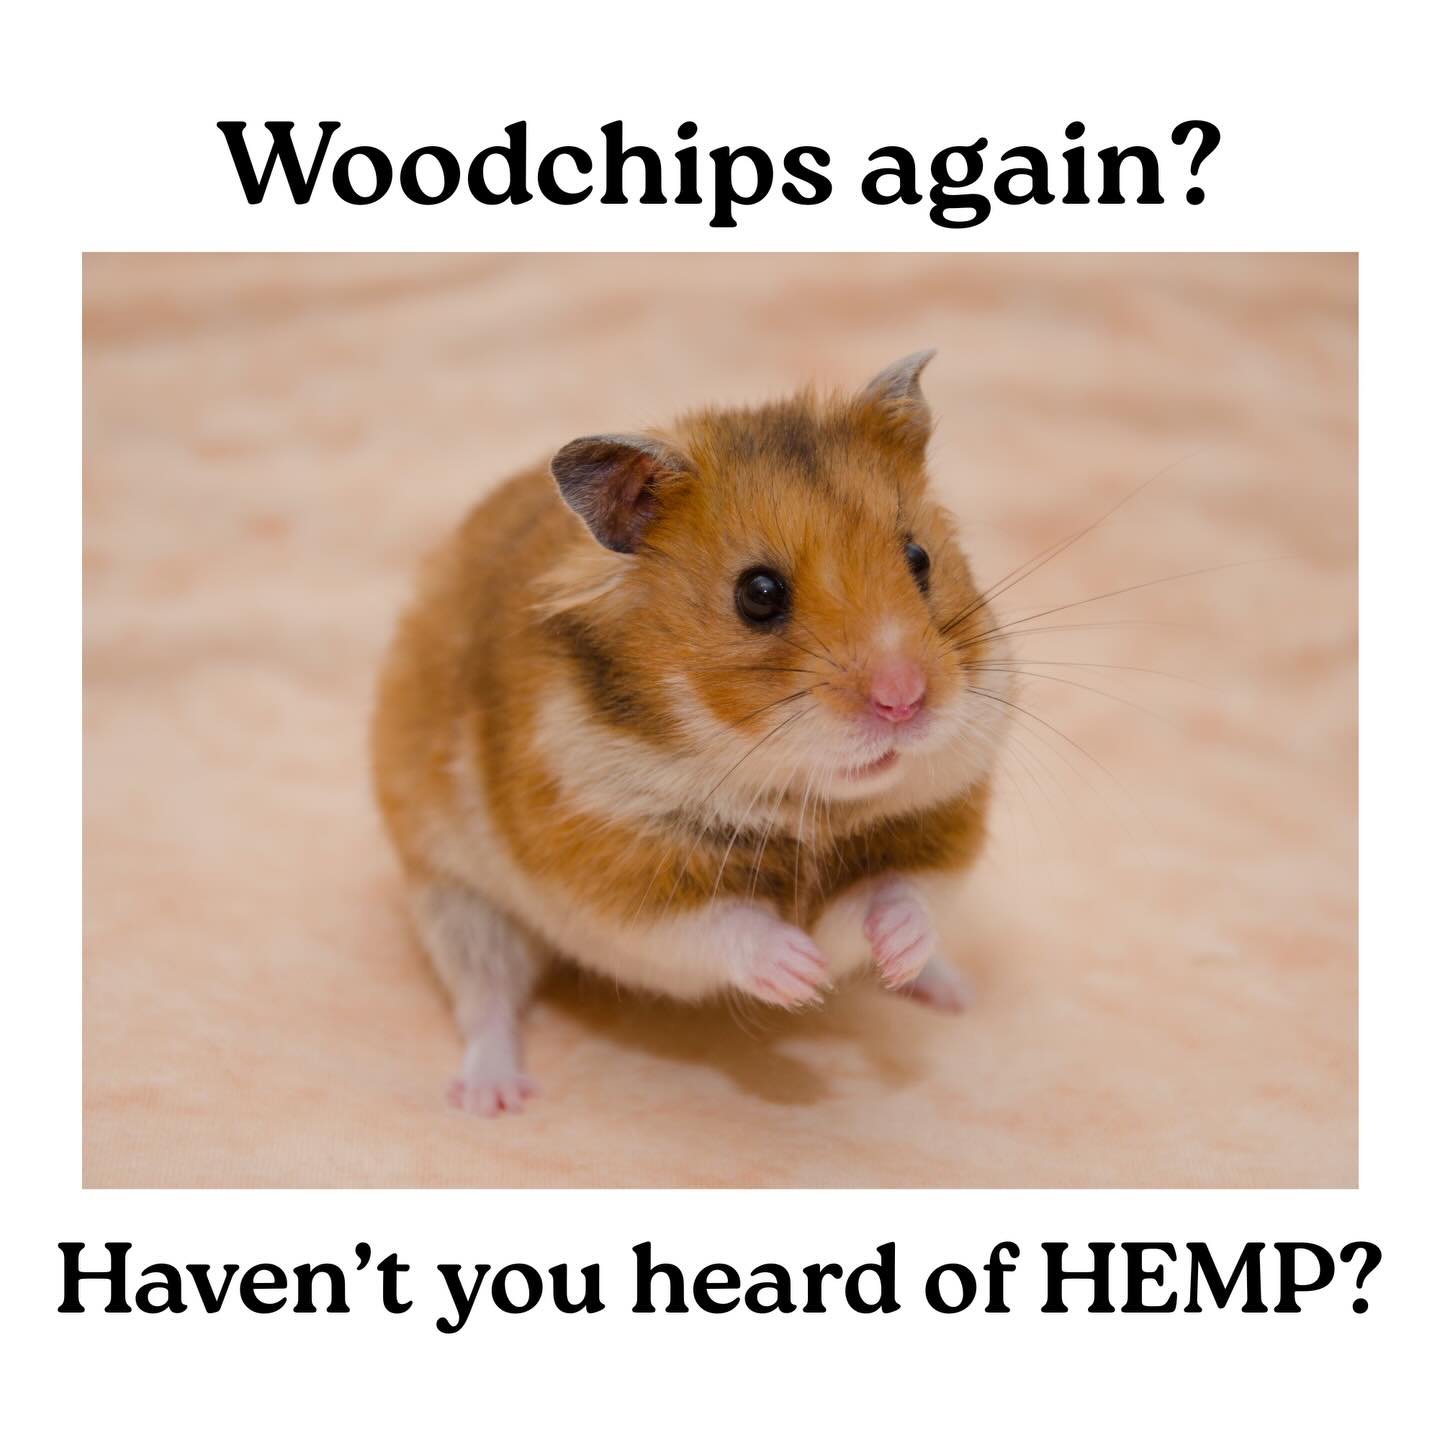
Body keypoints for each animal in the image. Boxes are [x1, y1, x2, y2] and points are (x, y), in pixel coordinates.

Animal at [370, 352, 1011, 1116]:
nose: (904, 700)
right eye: (758, 594)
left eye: (919, 559)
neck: (805, 803)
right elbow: (725, 924)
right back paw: (491, 1099)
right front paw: (803, 974)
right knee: (486, 999)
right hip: (455, 898)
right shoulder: (614, 871)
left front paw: (883, 952)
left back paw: (950, 990)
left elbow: (895, 894)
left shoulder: (938, 827)